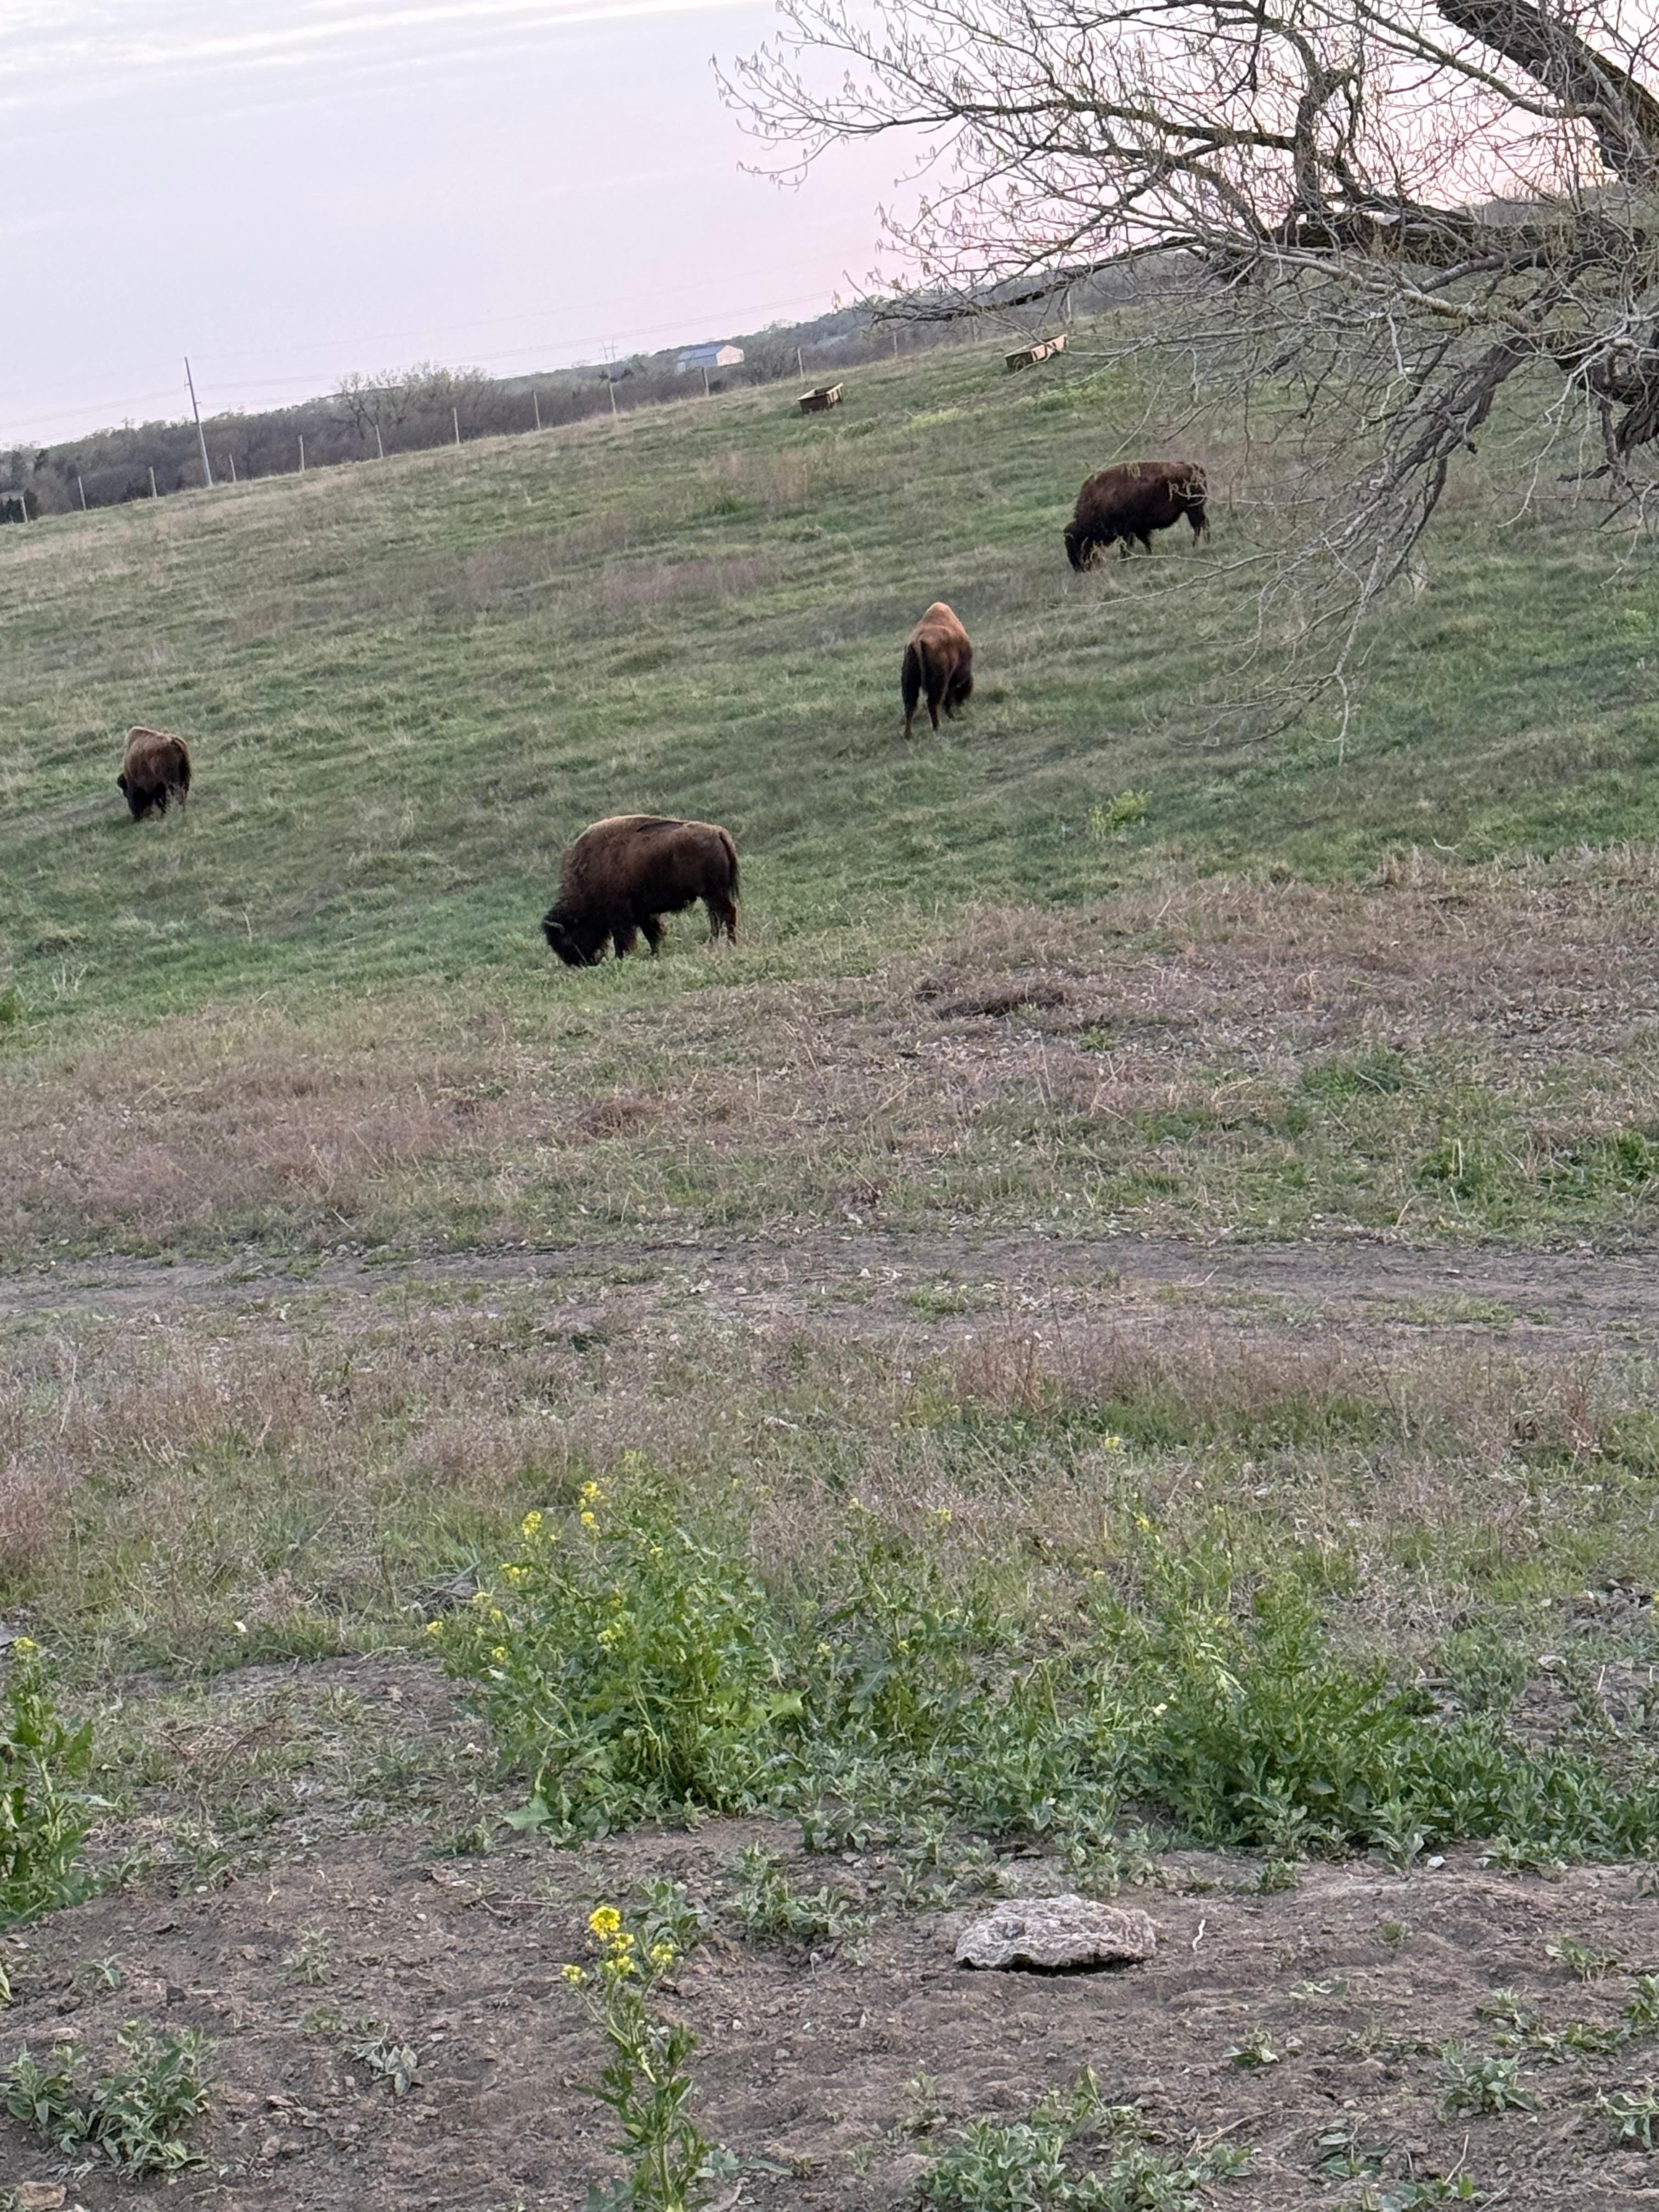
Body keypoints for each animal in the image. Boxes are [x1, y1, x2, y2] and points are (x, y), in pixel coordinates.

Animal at [117, 727, 192, 819]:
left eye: (126, 794)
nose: (137, 818)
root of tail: (173, 742)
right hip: (186, 777)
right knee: (184, 793)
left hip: (172, 782)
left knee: (178, 794)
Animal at [541, 814, 740, 966]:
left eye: (567, 941)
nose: (580, 964)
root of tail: (718, 832)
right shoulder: (644, 913)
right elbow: (652, 934)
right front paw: (654, 954)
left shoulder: (621, 915)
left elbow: (624, 939)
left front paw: (621, 958)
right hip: (711, 895)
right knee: (716, 918)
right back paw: (714, 943)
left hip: (714, 893)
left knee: (726, 914)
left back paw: (730, 944)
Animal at [901, 602, 974, 738]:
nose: (963, 702)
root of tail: (917, 641)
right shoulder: (951, 681)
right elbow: (948, 698)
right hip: (939, 683)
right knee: (933, 702)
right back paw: (938, 727)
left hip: (910, 681)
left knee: (910, 706)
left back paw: (908, 735)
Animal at [1064, 461, 1209, 567]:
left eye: (1076, 544)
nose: (1079, 568)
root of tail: (1194, 466)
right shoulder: (1138, 529)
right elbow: (1146, 541)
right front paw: (1150, 554)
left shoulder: (1124, 531)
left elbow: (1126, 546)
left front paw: (1124, 561)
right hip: (1195, 509)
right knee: (1204, 523)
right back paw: (1207, 542)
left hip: (1193, 509)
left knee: (1198, 526)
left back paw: (1194, 545)